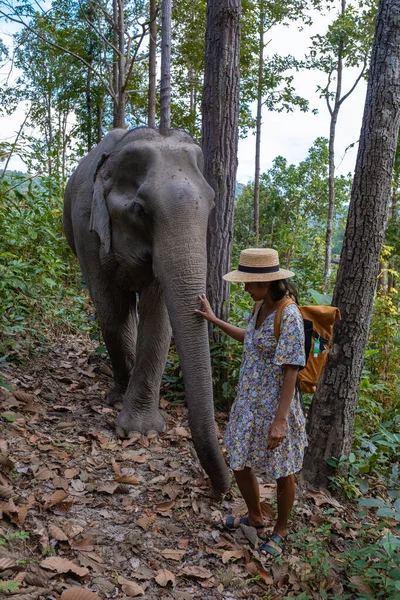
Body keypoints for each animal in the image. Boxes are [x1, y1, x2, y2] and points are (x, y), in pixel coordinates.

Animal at [62, 126, 231, 496]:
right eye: (140, 209)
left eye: (213, 204)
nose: (220, 490)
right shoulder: (86, 227)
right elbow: (110, 308)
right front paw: (120, 403)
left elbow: (158, 316)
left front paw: (144, 431)